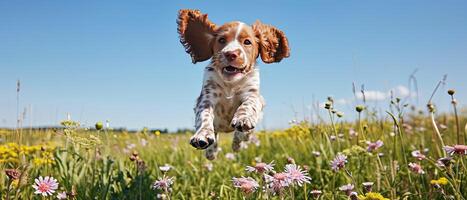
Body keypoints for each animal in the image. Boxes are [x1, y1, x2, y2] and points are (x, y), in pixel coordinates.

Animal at [178, 9, 290, 160]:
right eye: (221, 40)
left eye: (247, 42)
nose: (231, 54)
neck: (231, 84)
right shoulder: (207, 97)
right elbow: (204, 115)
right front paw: (202, 136)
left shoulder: (252, 94)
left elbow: (248, 105)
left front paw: (243, 119)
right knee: (215, 134)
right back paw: (211, 151)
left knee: (242, 136)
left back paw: (238, 142)